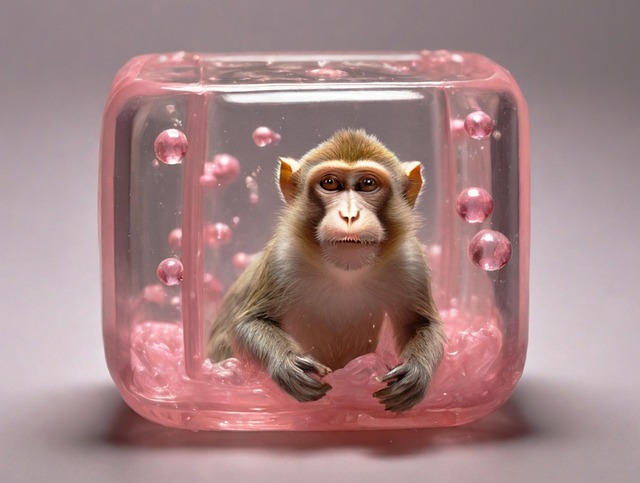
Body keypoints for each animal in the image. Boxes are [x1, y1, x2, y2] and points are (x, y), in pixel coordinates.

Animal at [207, 129, 445, 412]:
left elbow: (420, 322)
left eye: (367, 183)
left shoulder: (410, 262)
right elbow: (249, 322)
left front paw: (417, 371)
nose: (349, 215)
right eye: (330, 183)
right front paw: (287, 362)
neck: (345, 273)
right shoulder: (282, 260)